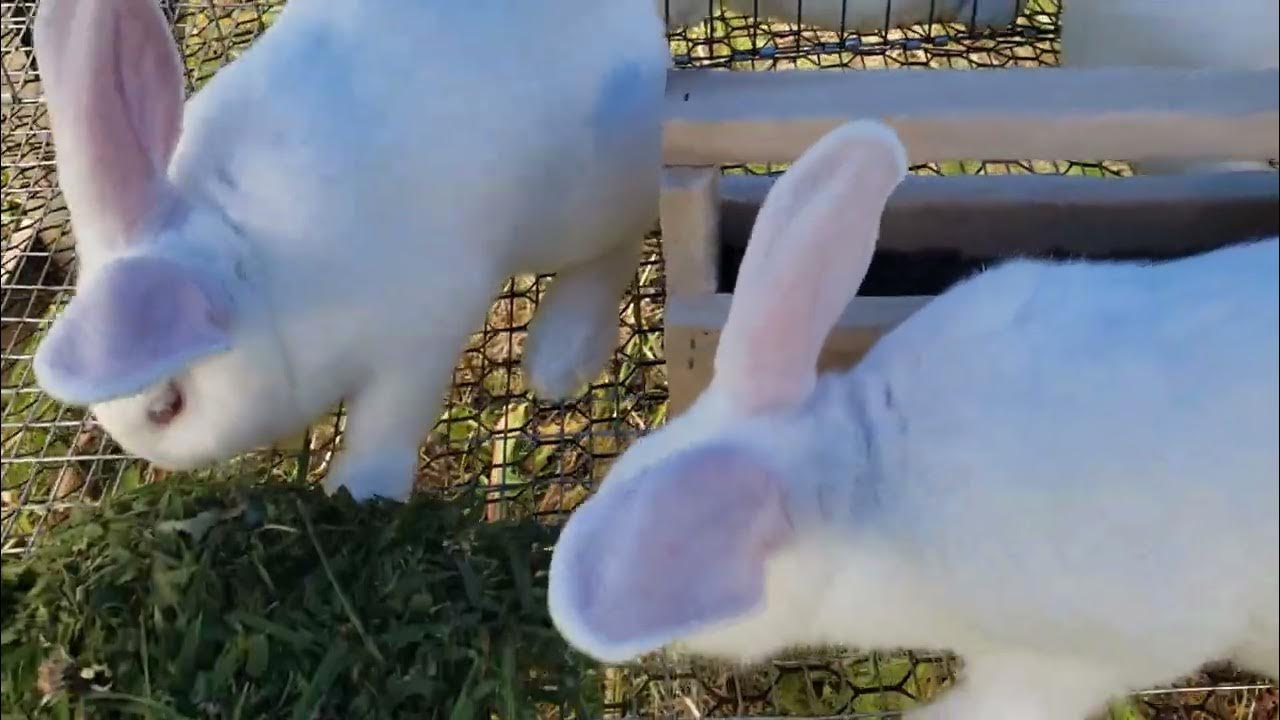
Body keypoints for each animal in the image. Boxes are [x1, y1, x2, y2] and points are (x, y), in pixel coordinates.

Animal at [30, 0, 670, 501]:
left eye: (169, 407)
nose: (155, 457)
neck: (251, 262)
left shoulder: (415, 339)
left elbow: (385, 422)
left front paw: (358, 490)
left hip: (586, 194)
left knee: (617, 245)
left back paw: (560, 357)